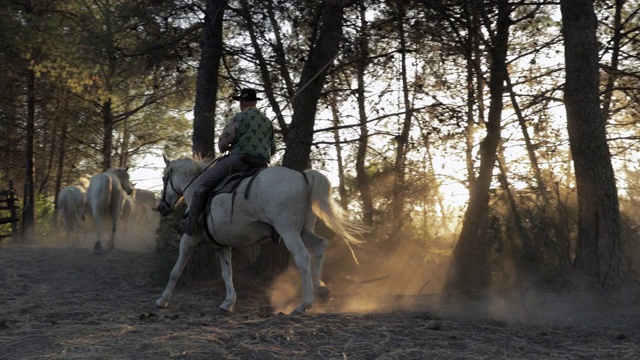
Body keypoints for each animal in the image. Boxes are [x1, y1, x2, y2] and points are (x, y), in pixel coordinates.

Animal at [156, 156, 364, 314]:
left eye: (164, 178)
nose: (161, 207)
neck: (196, 189)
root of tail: (303, 177)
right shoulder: (222, 246)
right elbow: (227, 274)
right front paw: (228, 302)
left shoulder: (189, 239)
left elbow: (176, 271)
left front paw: (162, 300)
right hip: (303, 231)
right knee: (321, 245)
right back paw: (320, 287)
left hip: (288, 231)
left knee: (303, 257)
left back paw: (303, 305)